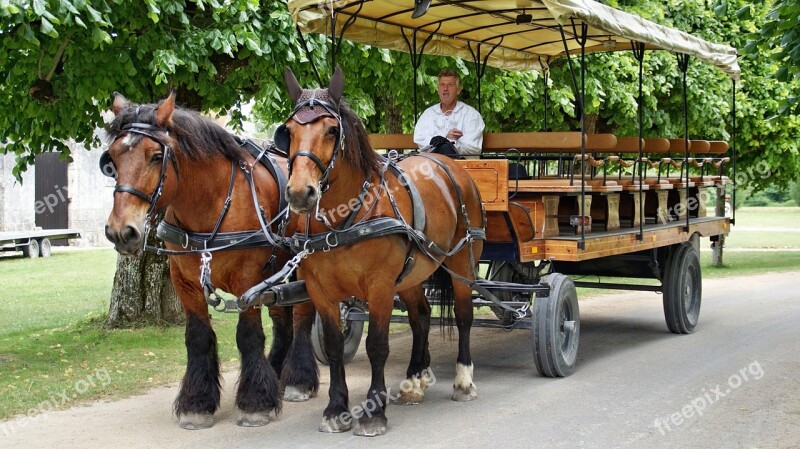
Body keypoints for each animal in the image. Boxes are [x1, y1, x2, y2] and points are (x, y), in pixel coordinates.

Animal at [102, 93, 318, 428]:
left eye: (155, 156)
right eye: (111, 159)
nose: (121, 232)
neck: (212, 203)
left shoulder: (248, 280)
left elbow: (248, 336)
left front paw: (255, 402)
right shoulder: (185, 281)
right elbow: (198, 337)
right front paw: (197, 403)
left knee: (302, 315)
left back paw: (298, 379)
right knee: (282, 317)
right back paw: (277, 370)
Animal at [278, 68, 484, 436]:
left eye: (331, 130)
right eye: (288, 131)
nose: (301, 193)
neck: (343, 220)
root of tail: (446, 162)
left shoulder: (380, 287)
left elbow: (377, 346)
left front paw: (374, 411)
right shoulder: (321, 291)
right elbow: (333, 347)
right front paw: (336, 409)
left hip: (462, 263)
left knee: (463, 316)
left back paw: (463, 381)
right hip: (415, 271)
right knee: (421, 317)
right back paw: (415, 380)